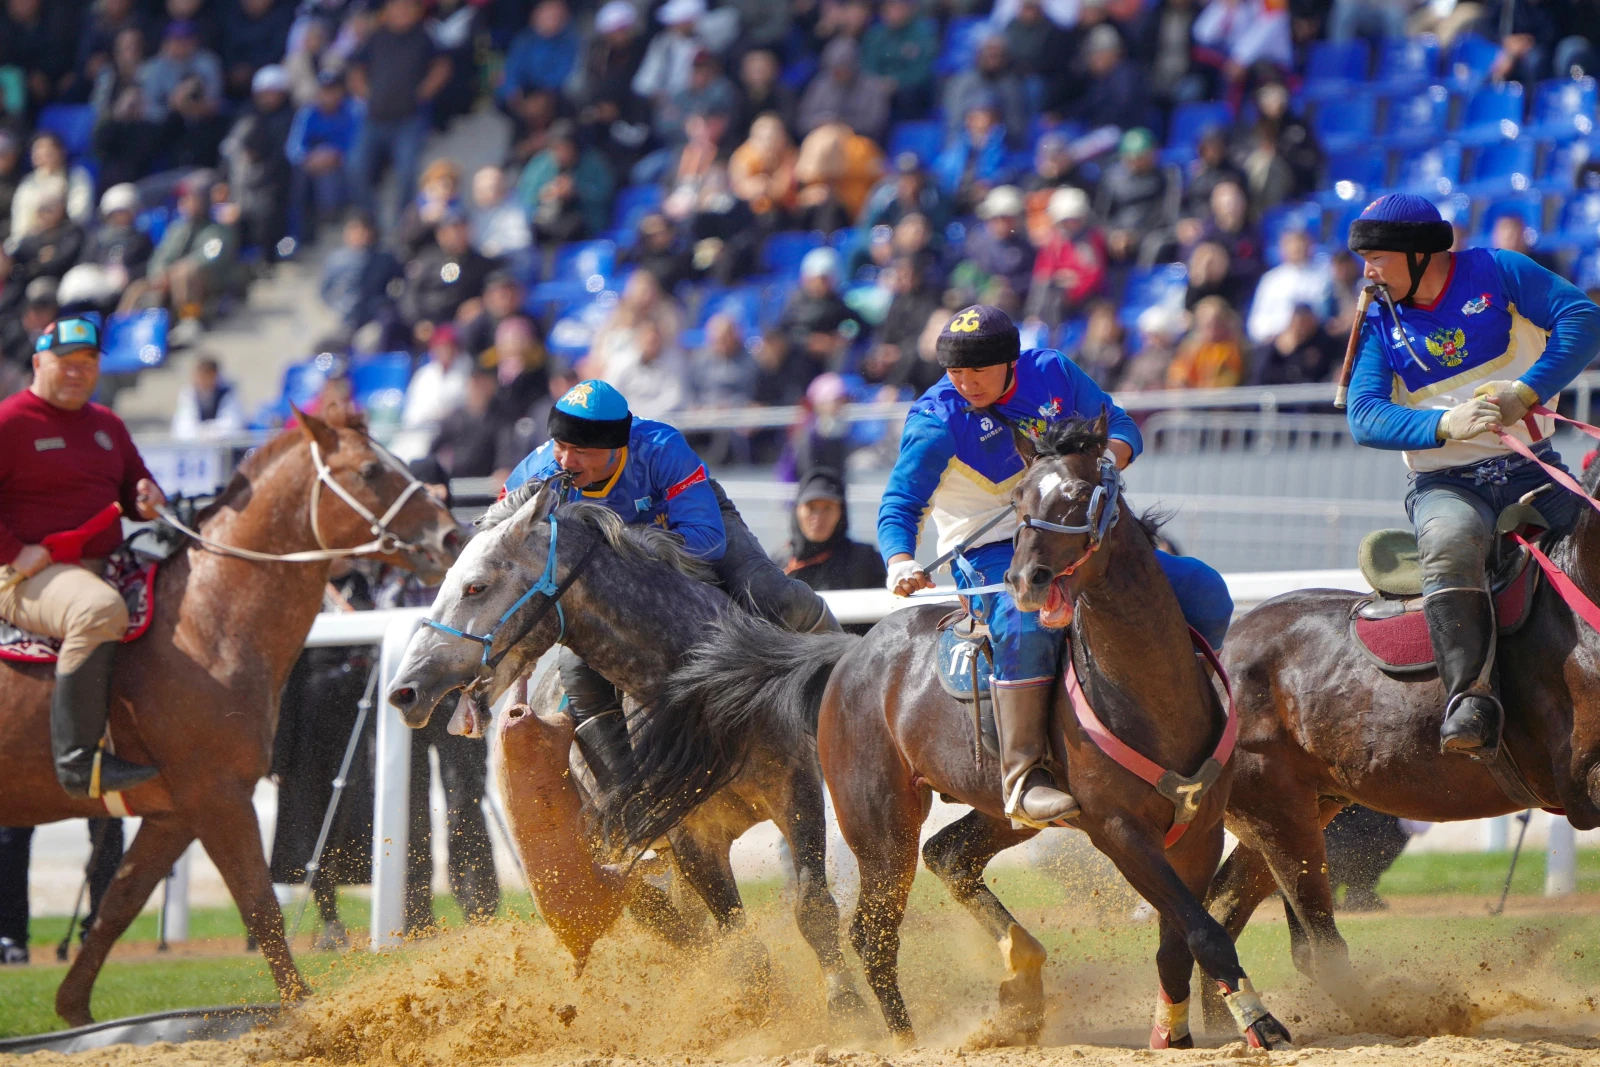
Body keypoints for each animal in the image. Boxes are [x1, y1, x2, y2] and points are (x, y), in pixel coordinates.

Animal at [0, 412, 464, 1023]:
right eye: (369, 470)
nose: (451, 536)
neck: (203, 623)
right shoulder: (217, 795)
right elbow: (260, 904)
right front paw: (303, 1012)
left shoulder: (174, 813)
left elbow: (119, 904)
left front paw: (74, 1010)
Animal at [382, 479, 870, 1017]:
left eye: (476, 586)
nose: (404, 691)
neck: (704, 688)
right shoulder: (689, 837)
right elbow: (737, 942)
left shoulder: (795, 788)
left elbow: (812, 906)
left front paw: (847, 1005)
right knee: (676, 929)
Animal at [604, 415, 1292, 1049]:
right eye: (1020, 499)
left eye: (1077, 493)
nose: (1024, 580)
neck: (1147, 692)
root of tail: (848, 654)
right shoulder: (1119, 831)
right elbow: (1202, 930)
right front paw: (1261, 1022)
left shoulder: (1198, 830)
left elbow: (1182, 935)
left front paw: (1173, 1032)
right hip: (882, 829)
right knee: (872, 934)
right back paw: (907, 1040)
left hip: (993, 811)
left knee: (948, 856)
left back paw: (1016, 986)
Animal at [1203, 441, 1600, 1023]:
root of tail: (1217, 648)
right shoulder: (1589, 775)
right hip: (1279, 815)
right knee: (1317, 947)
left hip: (1302, 808)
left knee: (1224, 907)